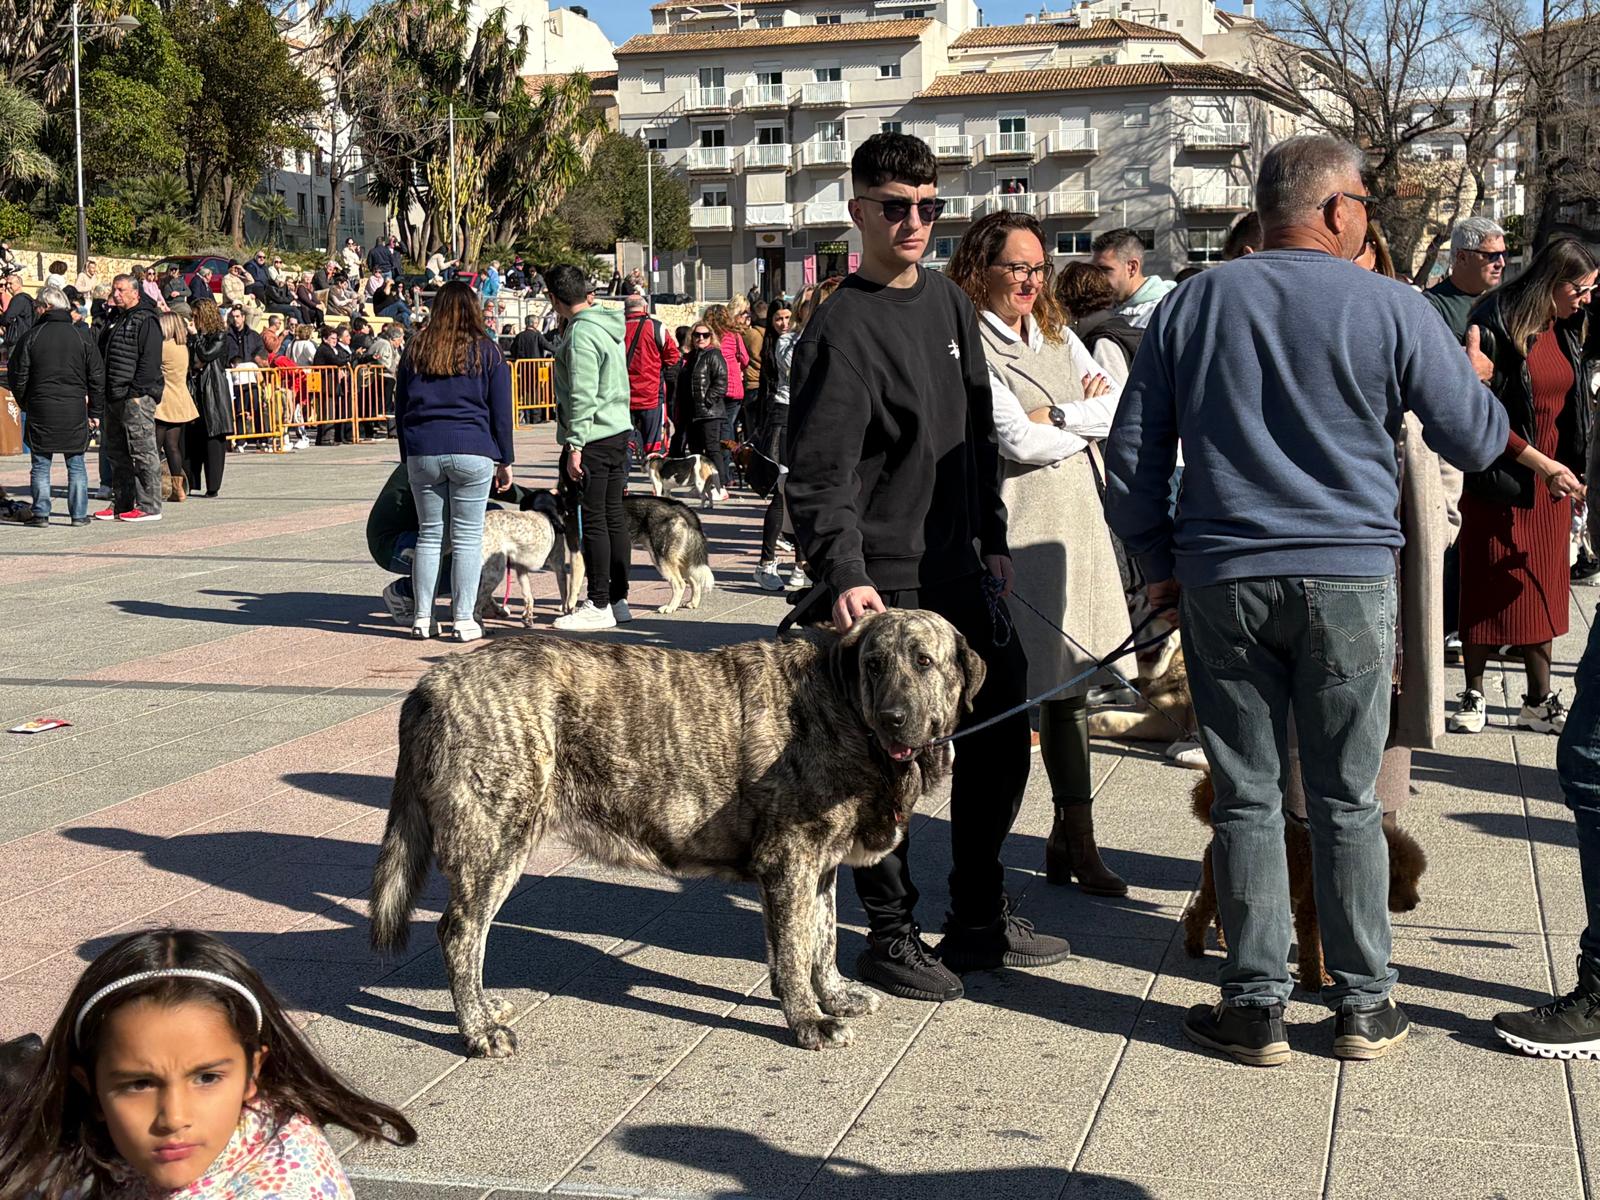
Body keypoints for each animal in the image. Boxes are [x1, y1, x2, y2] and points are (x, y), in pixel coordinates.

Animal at [371, 614, 985, 1056]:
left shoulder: (821, 866)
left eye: (924, 662)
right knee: (460, 934)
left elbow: (822, 938)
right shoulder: (789, 863)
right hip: (498, 840)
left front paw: (832, 995)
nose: (894, 717)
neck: (844, 708)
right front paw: (809, 1021)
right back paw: (476, 1030)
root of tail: (432, 682)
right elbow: (792, 951)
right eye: (874, 665)